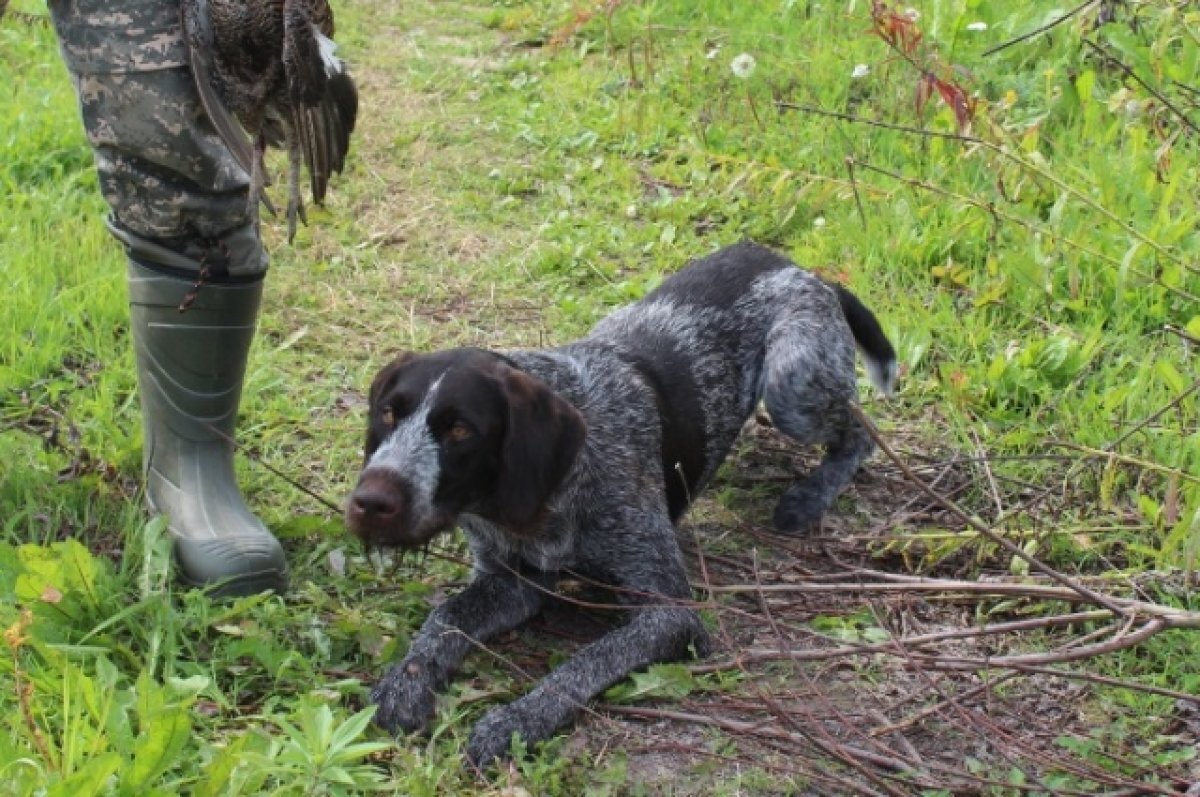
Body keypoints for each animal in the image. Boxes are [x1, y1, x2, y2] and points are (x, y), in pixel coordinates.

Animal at [343, 241, 897, 768]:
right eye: (389, 414)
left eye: (461, 430)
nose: (370, 501)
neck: (541, 497)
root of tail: (805, 272)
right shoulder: (510, 581)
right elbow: (444, 618)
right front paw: (406, 681)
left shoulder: (669, 613)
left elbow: (584, 664)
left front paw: (516, 720)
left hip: (792, 385)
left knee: (861, 432)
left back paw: (809, 496)